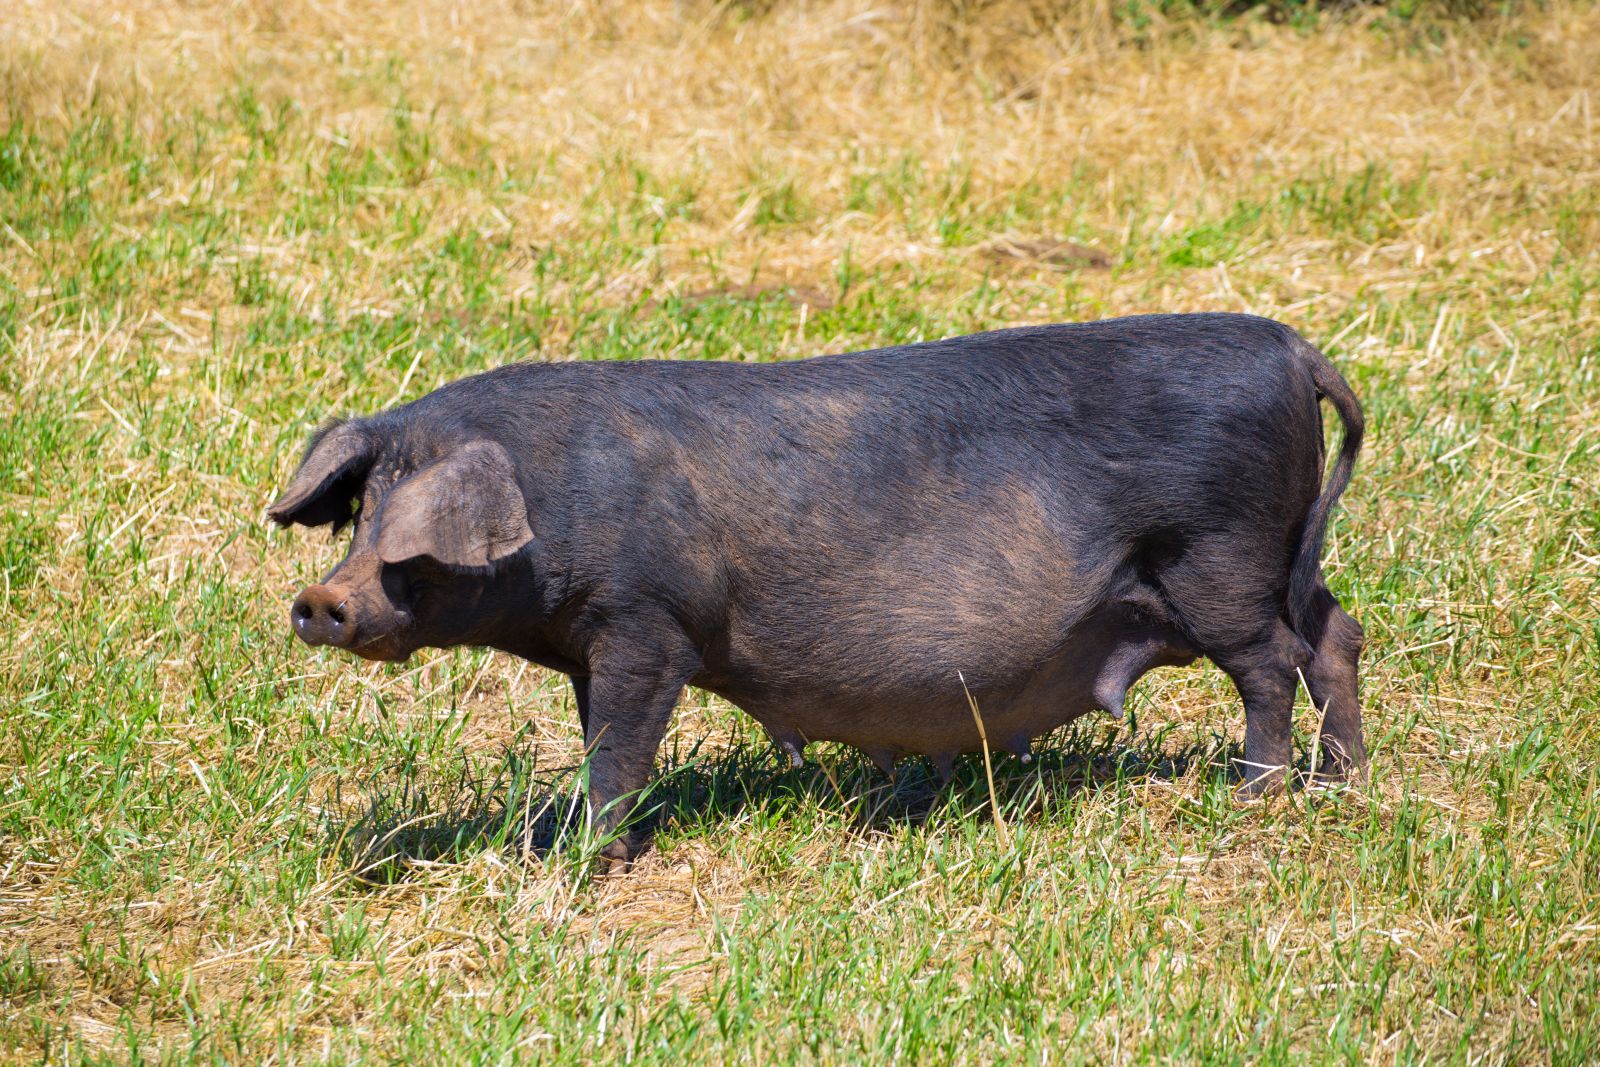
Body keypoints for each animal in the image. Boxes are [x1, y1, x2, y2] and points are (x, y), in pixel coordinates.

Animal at [272, 308, 1363, 870]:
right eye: (363, 510)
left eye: (409, 535)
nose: (321, 599)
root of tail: (1291, 349)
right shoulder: (597, 640)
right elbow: (601, 734)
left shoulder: (647, 621)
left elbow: (621, 741)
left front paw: (587, 861)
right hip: (1284, 555)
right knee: (1336, 634)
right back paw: (1343, 779)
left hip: (1219, 554)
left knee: (1271, 662)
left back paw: (1257, 793)